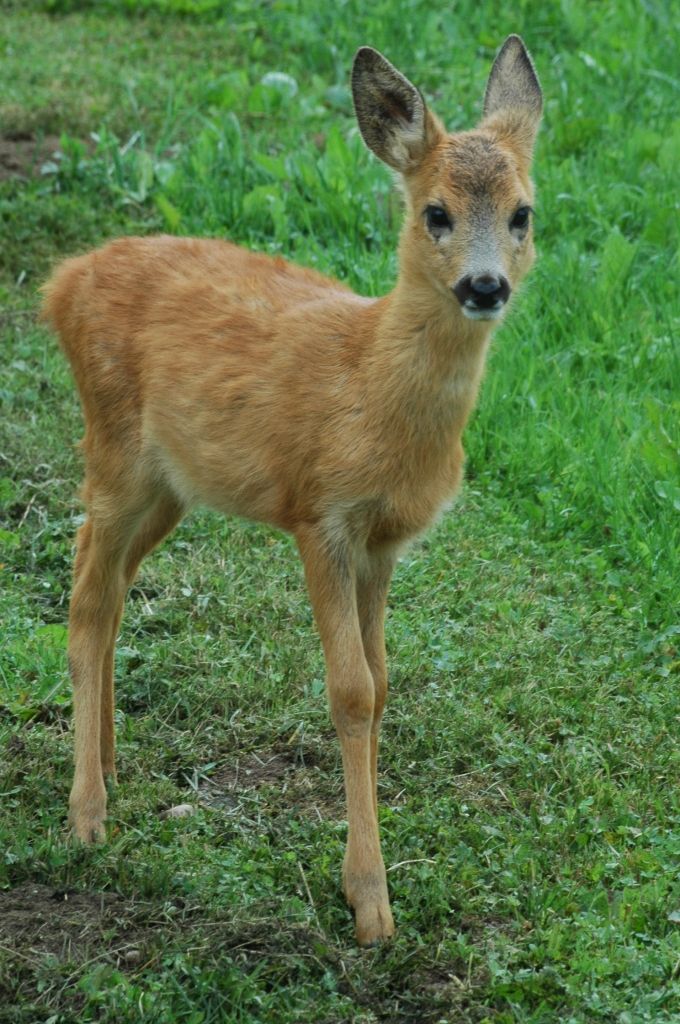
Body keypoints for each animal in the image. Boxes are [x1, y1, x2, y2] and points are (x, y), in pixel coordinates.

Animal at [41, 36, 540, 946]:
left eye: (522, 213)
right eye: (436, 213)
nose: (485, 286)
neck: (371, 387)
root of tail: (60, 282)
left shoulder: (385, 544)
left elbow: (382, 683)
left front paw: (368, 875)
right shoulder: (322, 517)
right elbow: (350, 690)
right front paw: (370, 900)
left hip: (169, 483)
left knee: (111, 578)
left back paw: (111, 763)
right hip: (116, 445)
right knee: (88, 600)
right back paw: (88, 812)